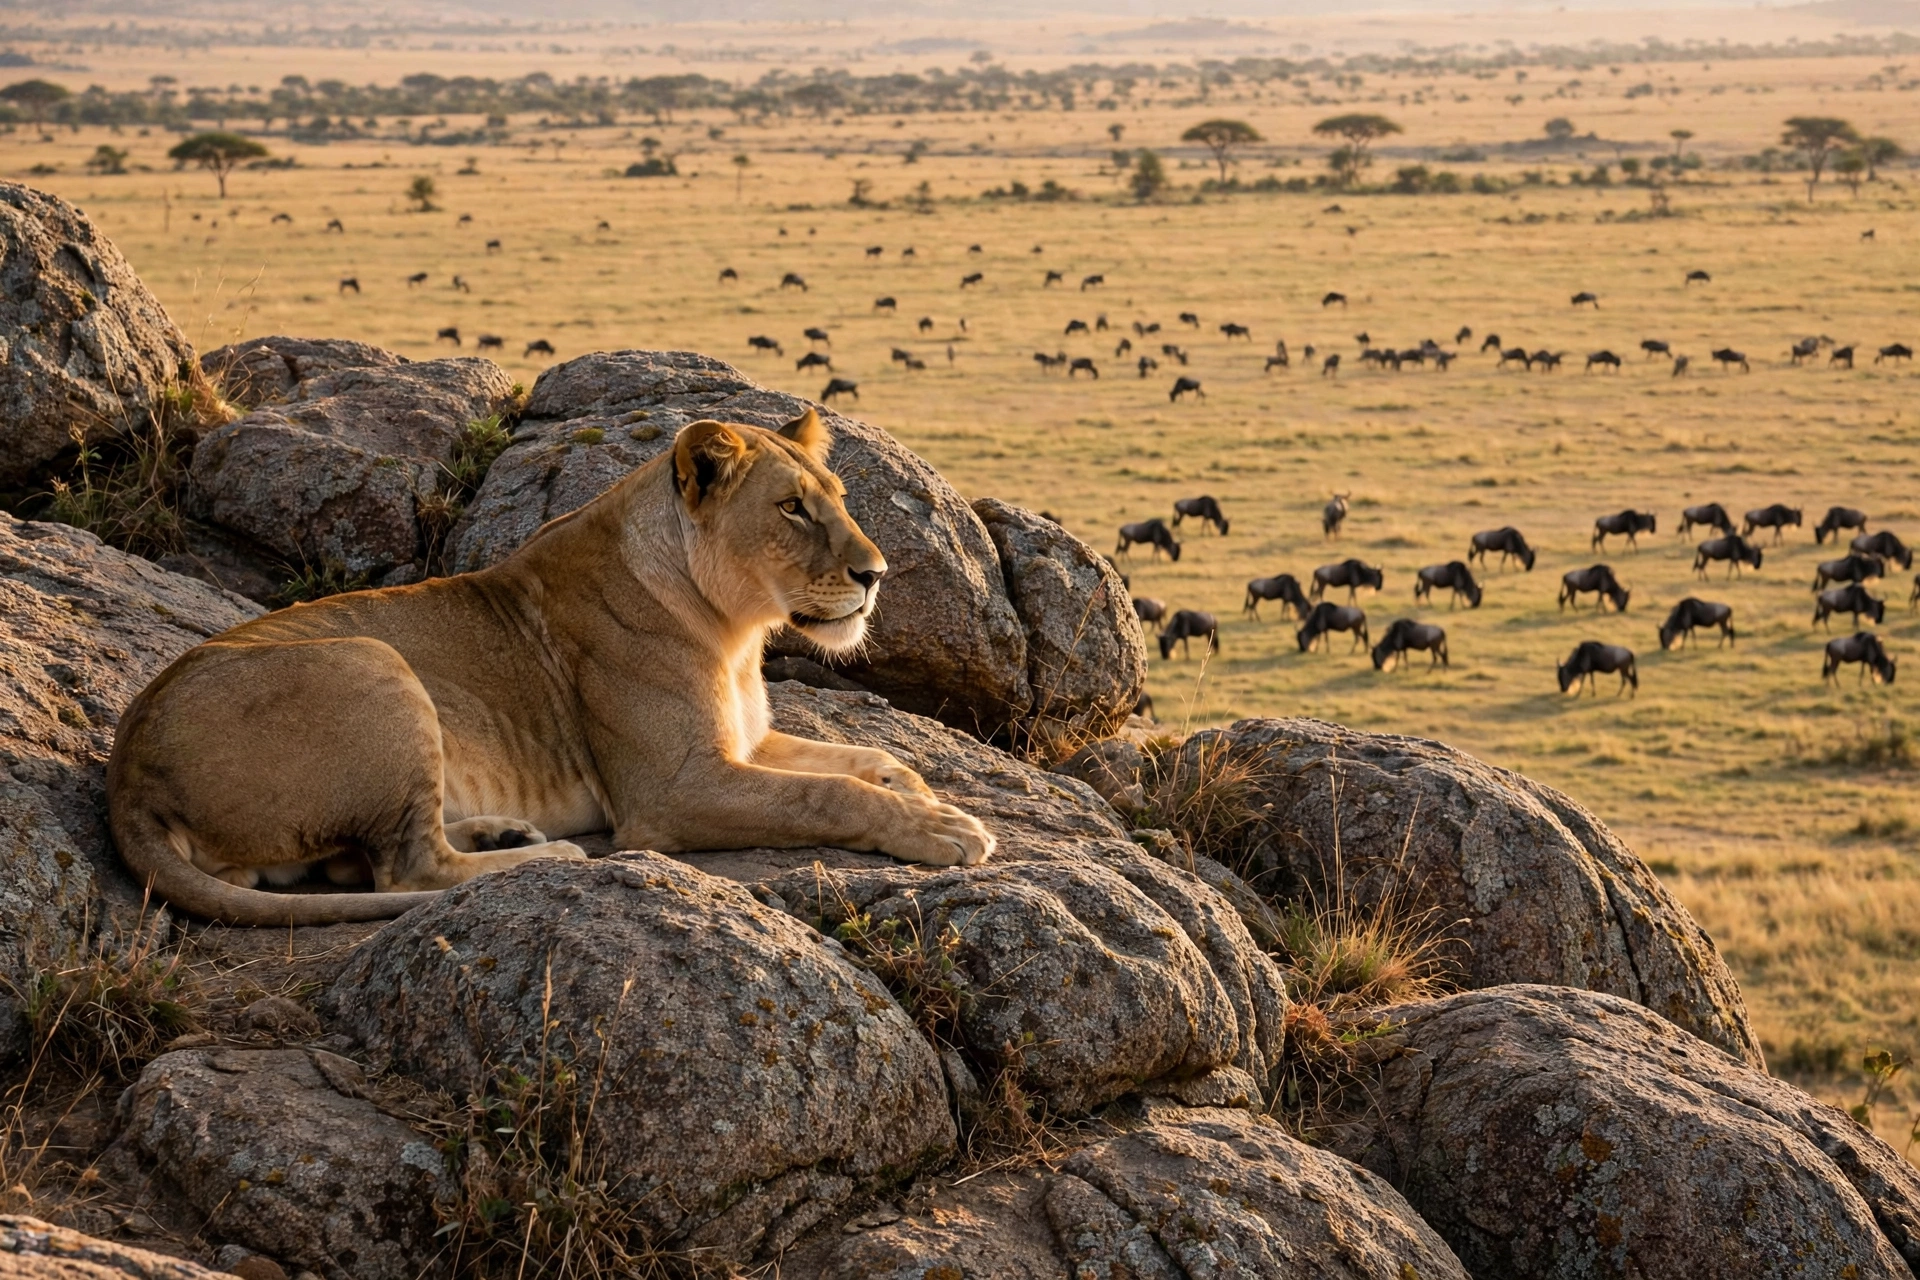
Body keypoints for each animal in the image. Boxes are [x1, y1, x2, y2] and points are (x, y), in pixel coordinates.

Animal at [107, 408, 994, 926]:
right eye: (791, 508)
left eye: (837, 496)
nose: (876, 573)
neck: (737, 630)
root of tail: (127, 772)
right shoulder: (672, 791)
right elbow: (829, 793)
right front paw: (943, 828)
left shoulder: (741, 746)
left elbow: (867, 758)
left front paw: (920, 792)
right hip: (371, 660)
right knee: (408, 869)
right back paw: (546, 857)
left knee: (367, 857)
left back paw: (501, 829)